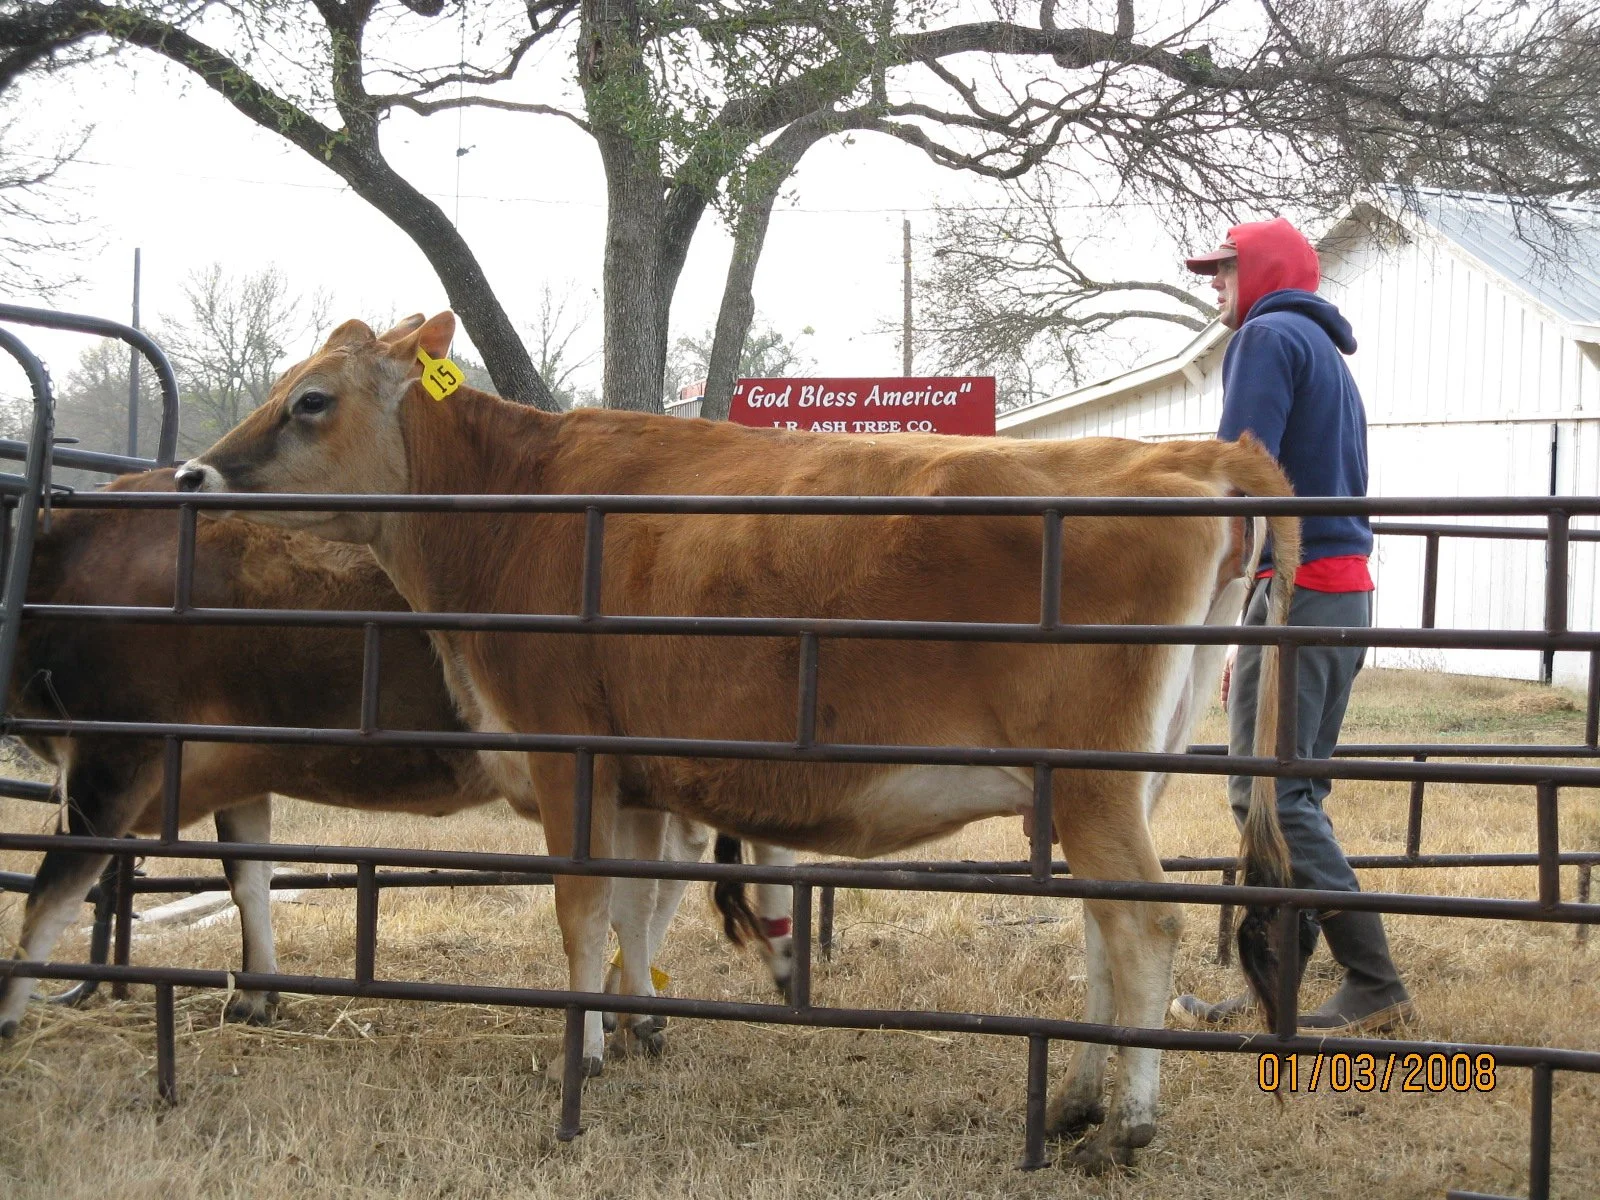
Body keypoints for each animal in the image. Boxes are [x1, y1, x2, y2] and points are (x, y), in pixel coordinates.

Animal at [0, 467, 796, 1057]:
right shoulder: (234, 762)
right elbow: (248, 878)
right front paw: (258, 992)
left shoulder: (113, 755)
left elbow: (50, 894)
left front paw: (9, 1013)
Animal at [176, 312, 1299, 1172]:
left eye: (311, 399)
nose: (191, 475)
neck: (508, 510)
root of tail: (1194, 454)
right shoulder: (632, 778)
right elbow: (636, 910)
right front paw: (640, 1026)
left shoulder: (564, 749)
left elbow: (581, 910)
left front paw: (584, 1054)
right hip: (1115, 782)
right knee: (1107, 929)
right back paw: (1075, 1101)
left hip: (1097, 781)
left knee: (1143, 925)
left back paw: (1127, 1127)